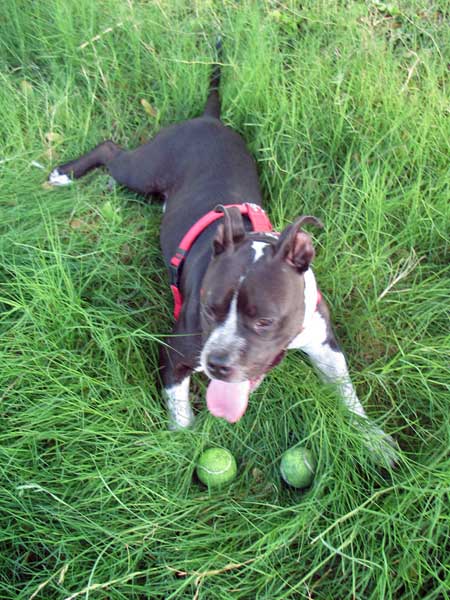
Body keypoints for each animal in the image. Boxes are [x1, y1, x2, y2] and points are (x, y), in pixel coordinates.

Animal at [47, 43, 396, 464]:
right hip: (142, 171)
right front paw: (183, 453)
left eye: (264, 321)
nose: (216, 363)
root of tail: (207, 118)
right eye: (208, 307)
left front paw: (373, 438)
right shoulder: (175, 355)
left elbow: (348, 393)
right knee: (111, 148)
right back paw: (65, 173)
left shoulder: (325, 343)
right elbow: (181, 415)